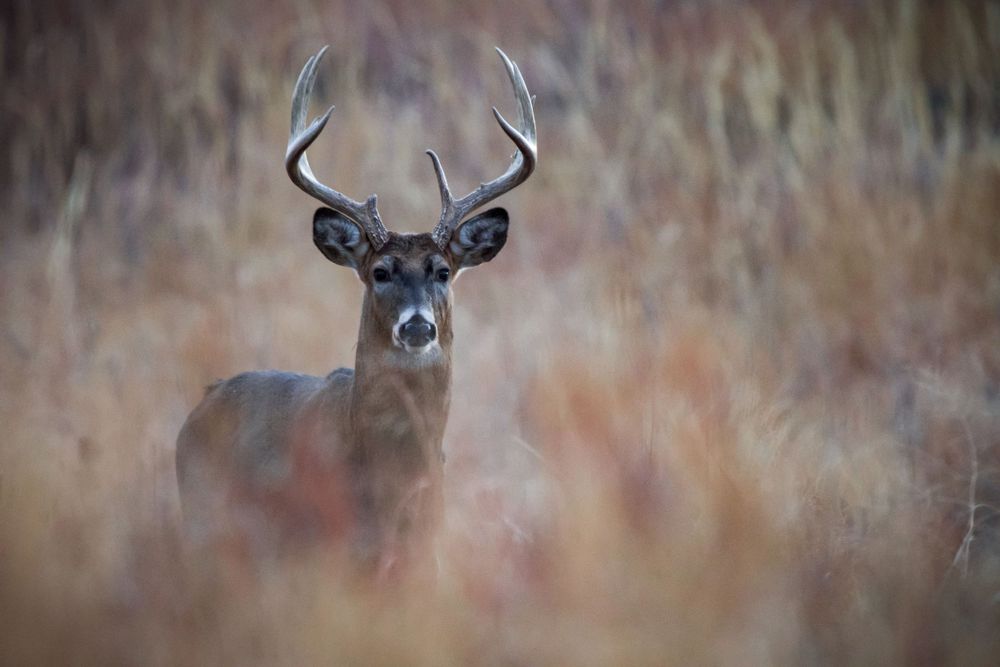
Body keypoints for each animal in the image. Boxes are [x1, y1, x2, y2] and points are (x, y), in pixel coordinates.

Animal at [175, 45, 536, 575]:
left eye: (442, 271)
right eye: (380, 272)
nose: (418, 325)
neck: (390, 477)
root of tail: (201, 405)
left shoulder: (424, 553)